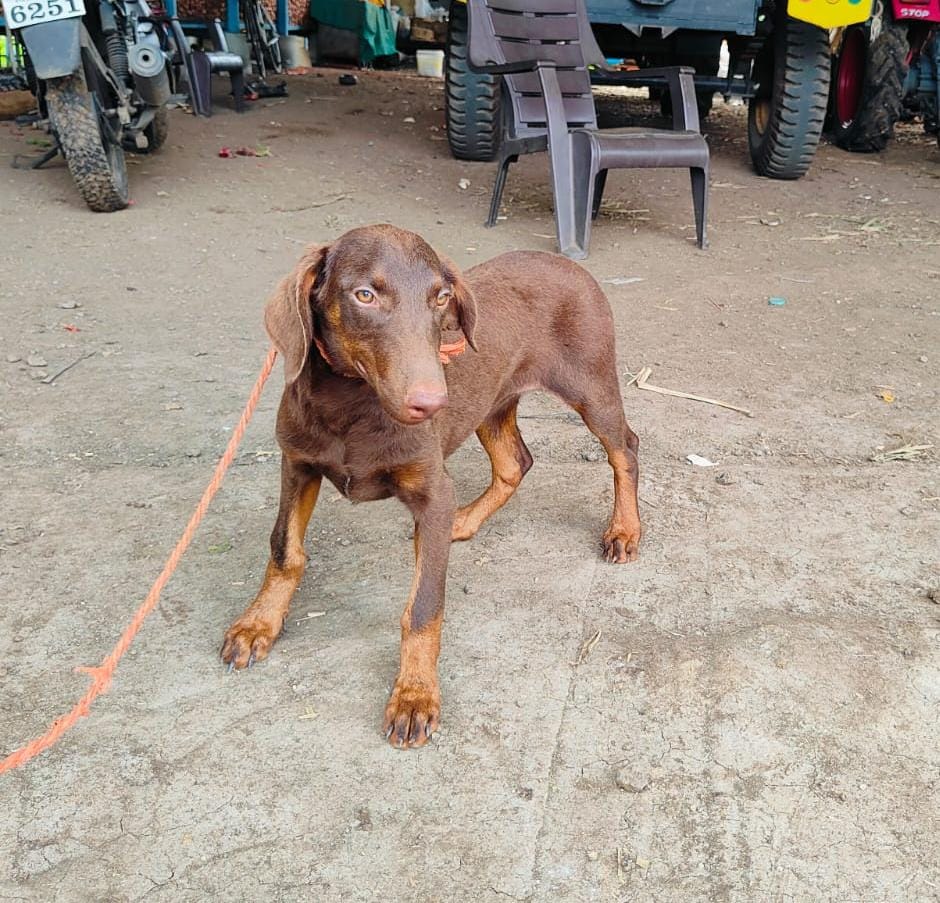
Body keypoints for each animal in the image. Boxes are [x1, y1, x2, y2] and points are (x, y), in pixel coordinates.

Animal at [222, 224, 640, 748]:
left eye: (441, 298)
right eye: (365, 295)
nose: (431, 402)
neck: (351, 404)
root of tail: (568, 263)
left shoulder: (431, 491)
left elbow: (423, 607)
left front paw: (415, 695)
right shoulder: (297, 465)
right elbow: (284, 549)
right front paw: (258, 622)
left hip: (591, 387)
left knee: (624, 448)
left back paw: (625, 529)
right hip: (490, 402)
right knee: (514, 464)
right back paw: (463, 522)